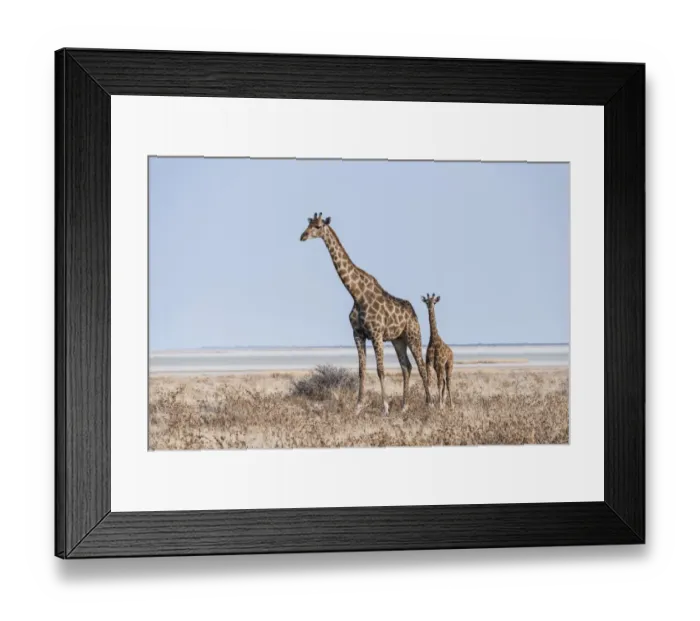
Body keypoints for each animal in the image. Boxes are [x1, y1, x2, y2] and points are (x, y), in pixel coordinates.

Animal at [300, 213, 431, 415]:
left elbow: (380, 369)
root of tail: (413, 311)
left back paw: (430, 404)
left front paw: (385, 407)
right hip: (398, 340)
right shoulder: (358, 334)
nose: (303, 236)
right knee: (406, 366)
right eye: (309, 224)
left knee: (421, 366)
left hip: (413, 334)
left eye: (318, 226)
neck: (357, 294)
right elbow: (361, 371)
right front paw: (358, 407)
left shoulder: (376, 334)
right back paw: (404, 407)